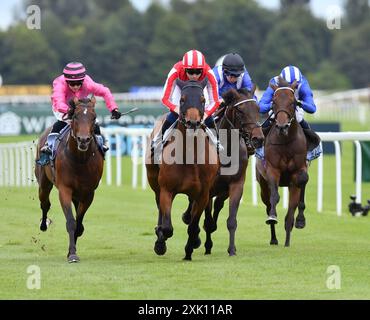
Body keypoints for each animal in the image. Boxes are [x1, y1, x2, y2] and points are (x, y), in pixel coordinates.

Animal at [35, 97, 103, 262]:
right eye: (76, 116)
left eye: (94, 117)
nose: (83, 140)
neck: (80, 159)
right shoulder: (65, 189)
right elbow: (71, 222)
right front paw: (72, 254)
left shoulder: (88, 193)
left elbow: (79, 222)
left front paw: (72, 248)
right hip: (44, 184)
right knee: (45, 204)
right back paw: (43, 224)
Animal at [145, 79, 220, 260]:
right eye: (182, 99)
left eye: (203, 100)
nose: (192, 123)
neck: (189, 156)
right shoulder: (167, 189)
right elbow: (167, 227)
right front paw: (160, 242)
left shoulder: (203, 194)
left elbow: (193, 226)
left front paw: (189, 249)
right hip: (155, 184)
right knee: (160, 209)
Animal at [181, 85, 264, 255]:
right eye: (240, 111)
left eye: (258, 109)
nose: (258, 139)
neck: (226, 150)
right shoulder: (208, 187)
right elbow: (206, 219)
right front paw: (200, 240)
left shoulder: (236, 184)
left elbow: (231, 220)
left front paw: (232, 249)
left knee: (217, 204)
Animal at [256, 77, 308, 248]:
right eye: (274, 102)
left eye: (293, 102)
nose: (282, 126)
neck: (286, 141)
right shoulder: (272, 170)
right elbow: (275, 197)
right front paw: (273, 216)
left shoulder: (297, 172)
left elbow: (295, 201)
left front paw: (297, 223)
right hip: (262, 184)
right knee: (267, 203)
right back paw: (274, 238)